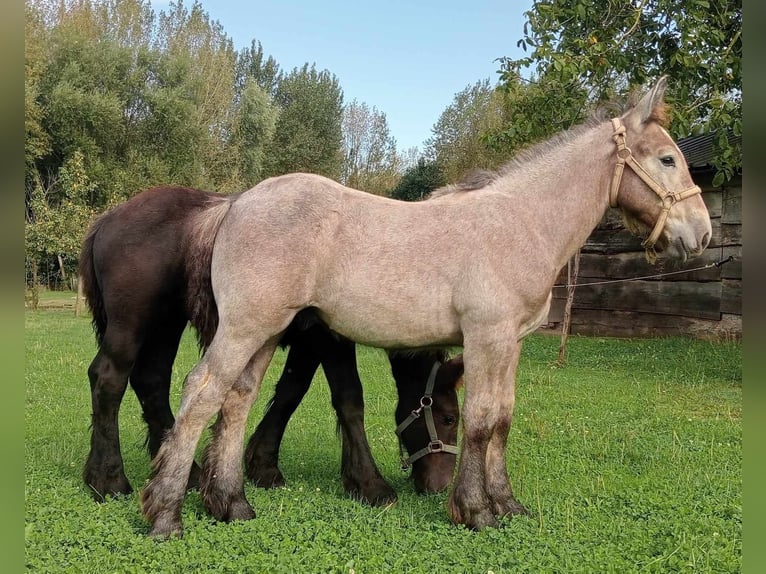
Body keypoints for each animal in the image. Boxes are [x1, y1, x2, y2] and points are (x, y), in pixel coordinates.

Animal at [79, 184, 462, 508]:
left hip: (166, 326)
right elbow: (349, 399)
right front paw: (370, 484)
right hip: (131, 325)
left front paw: (261, 464)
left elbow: (290, 391)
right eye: (449, 418)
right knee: (109, 379)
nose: (439, 484)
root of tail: (109, 219)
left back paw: (187, 474)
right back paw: (108, 478)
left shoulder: (307, 342)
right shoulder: (329, 338)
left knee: (152, 383)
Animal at [141, 77, 712, 540]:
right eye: (667, 159)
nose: (702, 234)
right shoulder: (485, 337)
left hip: (264, 333)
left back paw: (232, 505)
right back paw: (166, 515)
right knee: (201, 392)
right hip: (245, 327)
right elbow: (482, 420)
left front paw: (507, 505)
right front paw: (475, 511)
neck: (520, 223)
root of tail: (235, 202)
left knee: (236, 400)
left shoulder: (511, 344)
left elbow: (503, 419)